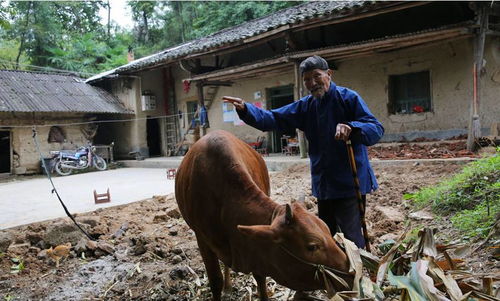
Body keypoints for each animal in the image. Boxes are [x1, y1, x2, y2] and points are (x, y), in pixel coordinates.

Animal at [176, 130, 352, 298]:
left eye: (328, 231)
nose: (352, 273)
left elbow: (260, 278)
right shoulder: (202, 240)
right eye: (312, 246)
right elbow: (215, 281)